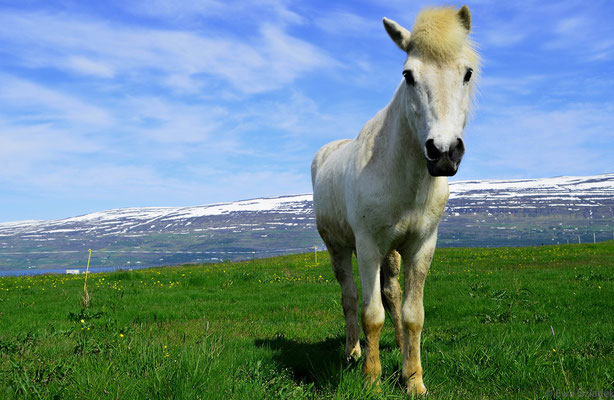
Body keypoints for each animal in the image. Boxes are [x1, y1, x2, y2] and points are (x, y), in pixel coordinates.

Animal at [312, 5, 482, 394]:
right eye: (408, 75)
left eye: (467, 73)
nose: (443, 152)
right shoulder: (368, 246)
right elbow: (371, 313)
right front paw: (372, 380)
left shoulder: (422, 246)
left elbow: (412, 314)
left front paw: (413, 378)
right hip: (338, 247)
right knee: (350, 298)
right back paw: (353, 352)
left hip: (390, 253)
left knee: (391, 293)